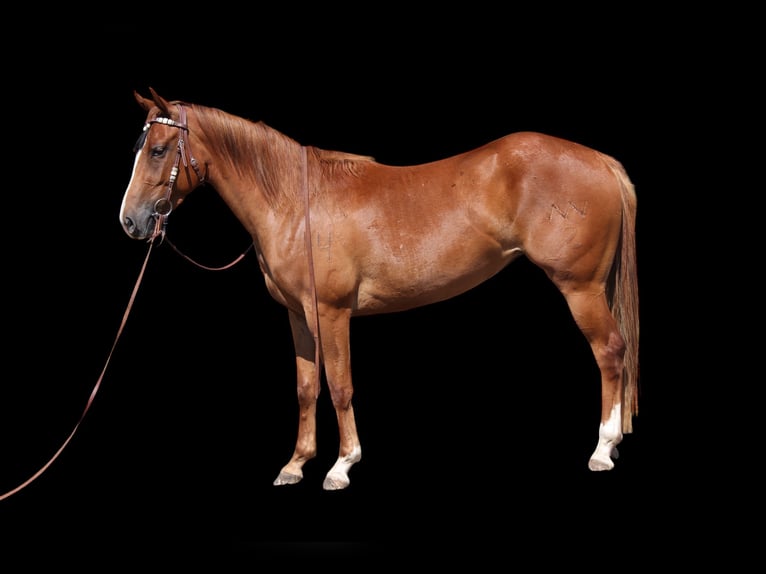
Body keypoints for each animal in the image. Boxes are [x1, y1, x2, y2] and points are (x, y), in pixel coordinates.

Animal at [120, 87, 639, 490]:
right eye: (140, 146)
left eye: (159, 150)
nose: (130, 221)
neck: (296, 202)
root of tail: (600, 160)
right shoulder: (297, 315)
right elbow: (305, 388)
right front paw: (295, 465)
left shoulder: (330, 313)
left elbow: (340, 386)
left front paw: (341, 466)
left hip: (581, 288)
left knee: (610, 352)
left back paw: (602, 448)